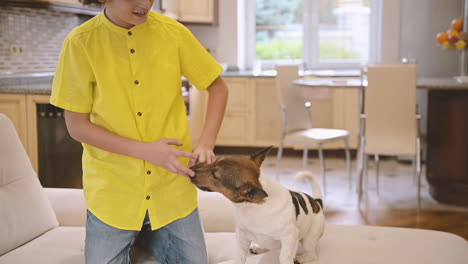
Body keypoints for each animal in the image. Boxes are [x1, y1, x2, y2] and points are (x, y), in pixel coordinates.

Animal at [188, 146, 324, 264]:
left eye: (215, 176)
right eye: (215, 160)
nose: (192, 167)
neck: (253, 207)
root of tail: (317, 203)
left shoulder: (289, 236)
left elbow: (284, 257)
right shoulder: (242, 237)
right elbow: (240, 257)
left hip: (309, 238)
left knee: (311, 254)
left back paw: (301, 258)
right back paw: (259, 248)